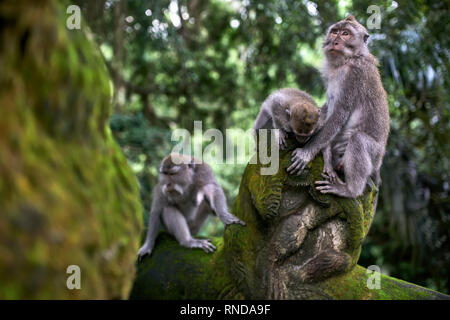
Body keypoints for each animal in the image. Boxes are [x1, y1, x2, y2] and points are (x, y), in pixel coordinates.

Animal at [288, 16, 390, 199]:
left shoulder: (352, 75)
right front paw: (325, 153)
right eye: (335, 31)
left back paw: (350, 190)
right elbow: (328, 108)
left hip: (375, 156)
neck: (349, 59)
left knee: (358, 140)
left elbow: (339, 114)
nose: (335, 41)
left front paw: (307, 152)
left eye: (346, 33)